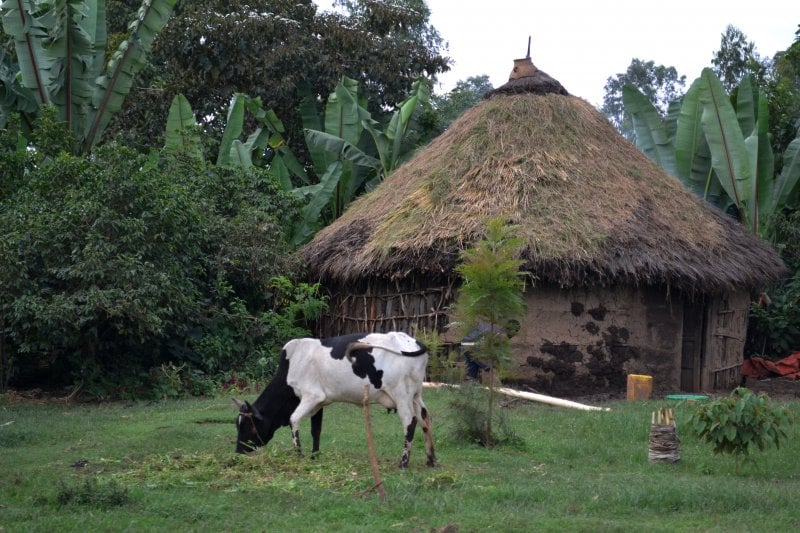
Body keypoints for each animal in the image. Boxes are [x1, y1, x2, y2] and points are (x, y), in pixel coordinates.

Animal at [236, 330, 438, 468]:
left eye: (247, 426)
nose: (238, 452)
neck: (291, 364)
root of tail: (414, 341)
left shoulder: (311, 396)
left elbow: (294, 420)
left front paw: (299, 455)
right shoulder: (320, 402)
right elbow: (316, 430)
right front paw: (314, 456)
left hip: (401, 395)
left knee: (410, 423)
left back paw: (403, 463)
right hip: (415, 395)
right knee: (425, 418)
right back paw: (431, 459)